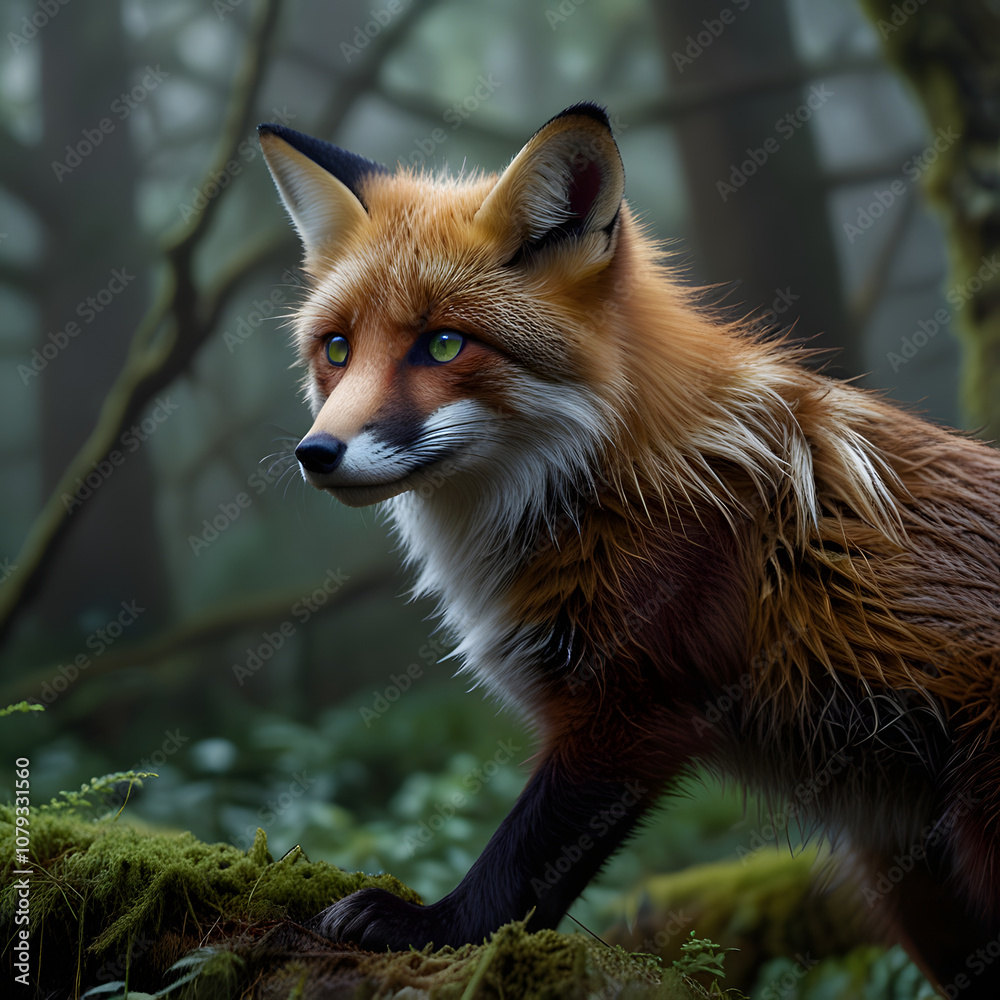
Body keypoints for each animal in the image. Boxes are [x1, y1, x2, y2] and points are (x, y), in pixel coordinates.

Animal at [258, 104, 1000, 995]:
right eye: (337, 349)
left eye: (442, 345)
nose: (316, 453)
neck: (610, 477)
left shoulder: (632, 708)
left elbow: (524, 864)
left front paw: (434, 927)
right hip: (921, 891)